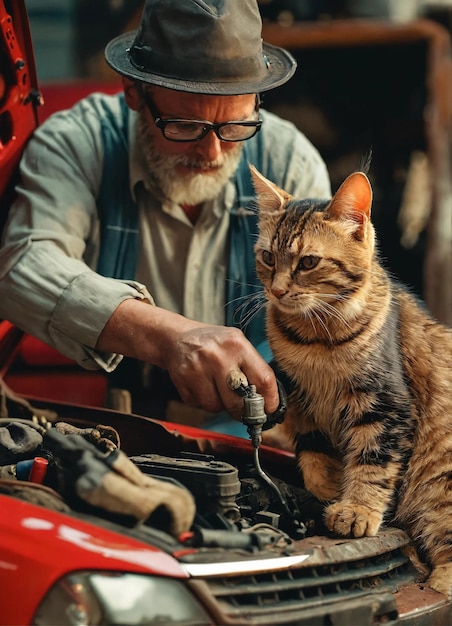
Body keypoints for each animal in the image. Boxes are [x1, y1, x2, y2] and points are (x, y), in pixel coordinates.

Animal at [251, 165, 452, 596]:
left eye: (308, 262)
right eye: (268, 257)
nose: (277, 291)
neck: (313, 339)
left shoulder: (385, 405)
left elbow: (372, 461)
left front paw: (357, 508)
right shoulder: (300, 398)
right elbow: (312, 451)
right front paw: (327, 488)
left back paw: (438, 582)